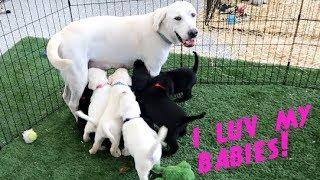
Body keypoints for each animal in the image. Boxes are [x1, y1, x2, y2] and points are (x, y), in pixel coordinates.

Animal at [46, 1, 199, 118]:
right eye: (177, 18)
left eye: (193, 15)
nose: (194, 32)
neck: (158, 31)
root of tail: (61, 33)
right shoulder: (153, 69)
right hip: (79, 77)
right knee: (73, 103)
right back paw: (79, 119)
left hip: (70, 77)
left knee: (66, 97)